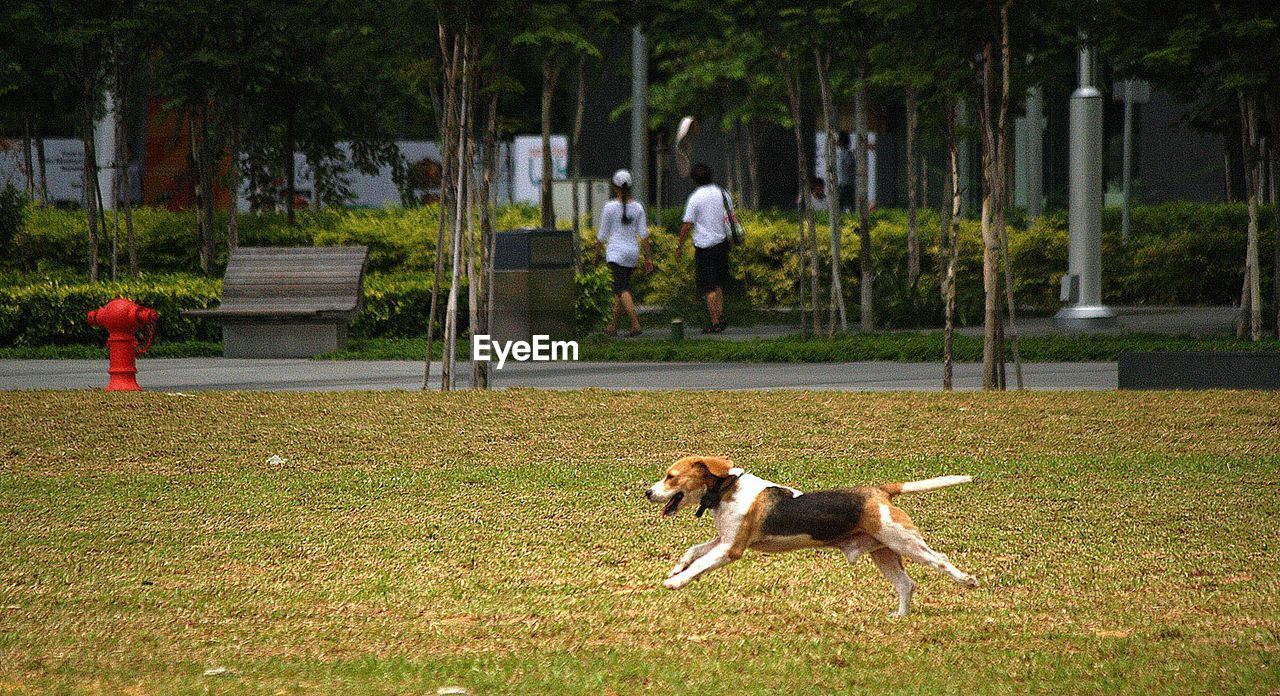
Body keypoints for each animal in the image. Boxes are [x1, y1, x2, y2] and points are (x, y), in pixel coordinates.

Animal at [650, 455, 977, 614]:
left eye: (670, 477)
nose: (647, 492)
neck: (725, 488)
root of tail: (880, 492)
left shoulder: (731, 548)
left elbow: (699, 564)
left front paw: (676, 581)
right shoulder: (724, 540)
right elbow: (693, 551)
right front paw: (677, 568)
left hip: (905, 542)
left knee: (940, 560)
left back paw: (967, 580)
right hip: (883, 552)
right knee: (906, 585)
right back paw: (900, 617)